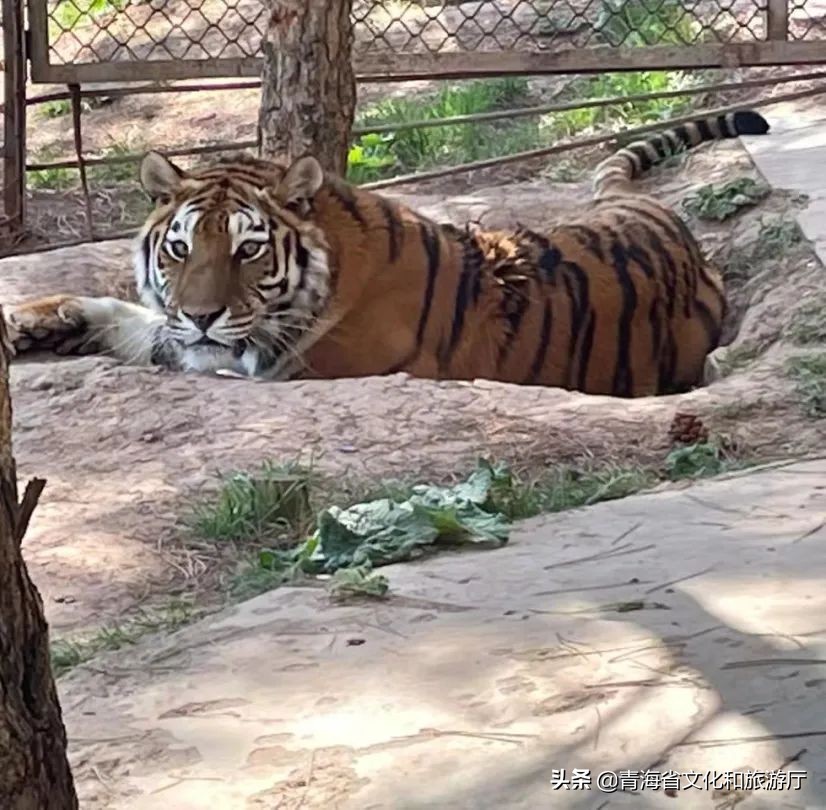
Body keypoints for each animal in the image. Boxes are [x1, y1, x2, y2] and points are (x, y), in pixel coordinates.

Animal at [6, 107, 768, 398]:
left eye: (249, 250)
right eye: (180, 248)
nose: (200, 316)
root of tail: (652, 212)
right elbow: (131, 319)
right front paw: (31, 321)